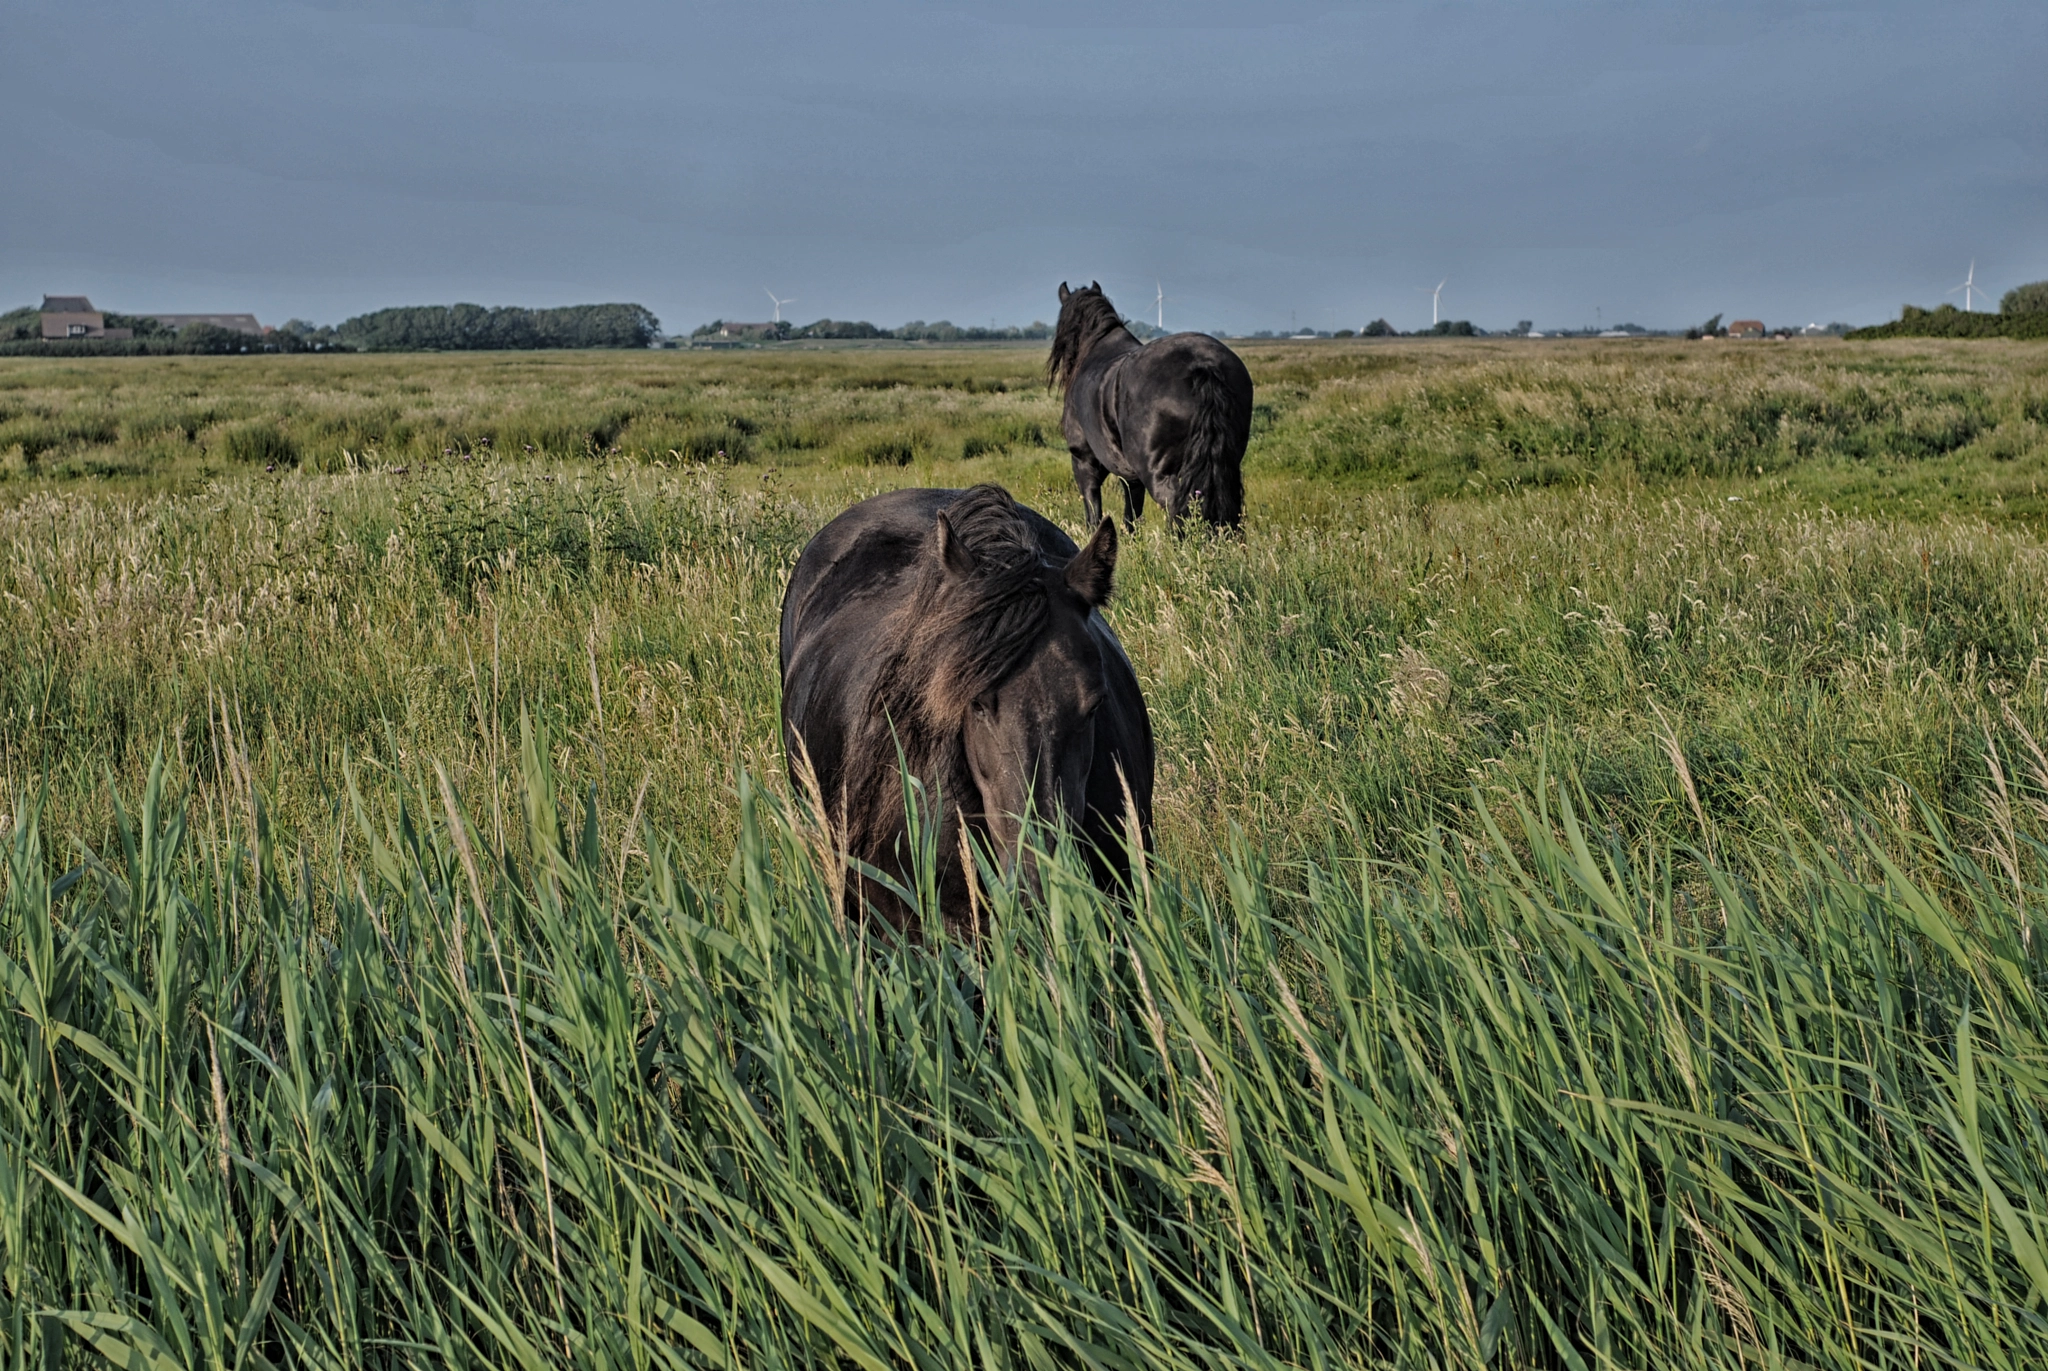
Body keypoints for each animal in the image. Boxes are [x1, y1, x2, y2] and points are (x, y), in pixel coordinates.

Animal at [1048, 281, 1255, 533]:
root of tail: (1204, 365)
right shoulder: (1130, 476)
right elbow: (1131, 515)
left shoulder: (1084, 460)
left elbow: (1093, 513)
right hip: (1226, 463)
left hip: (1160, 472)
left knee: (1179, 505)